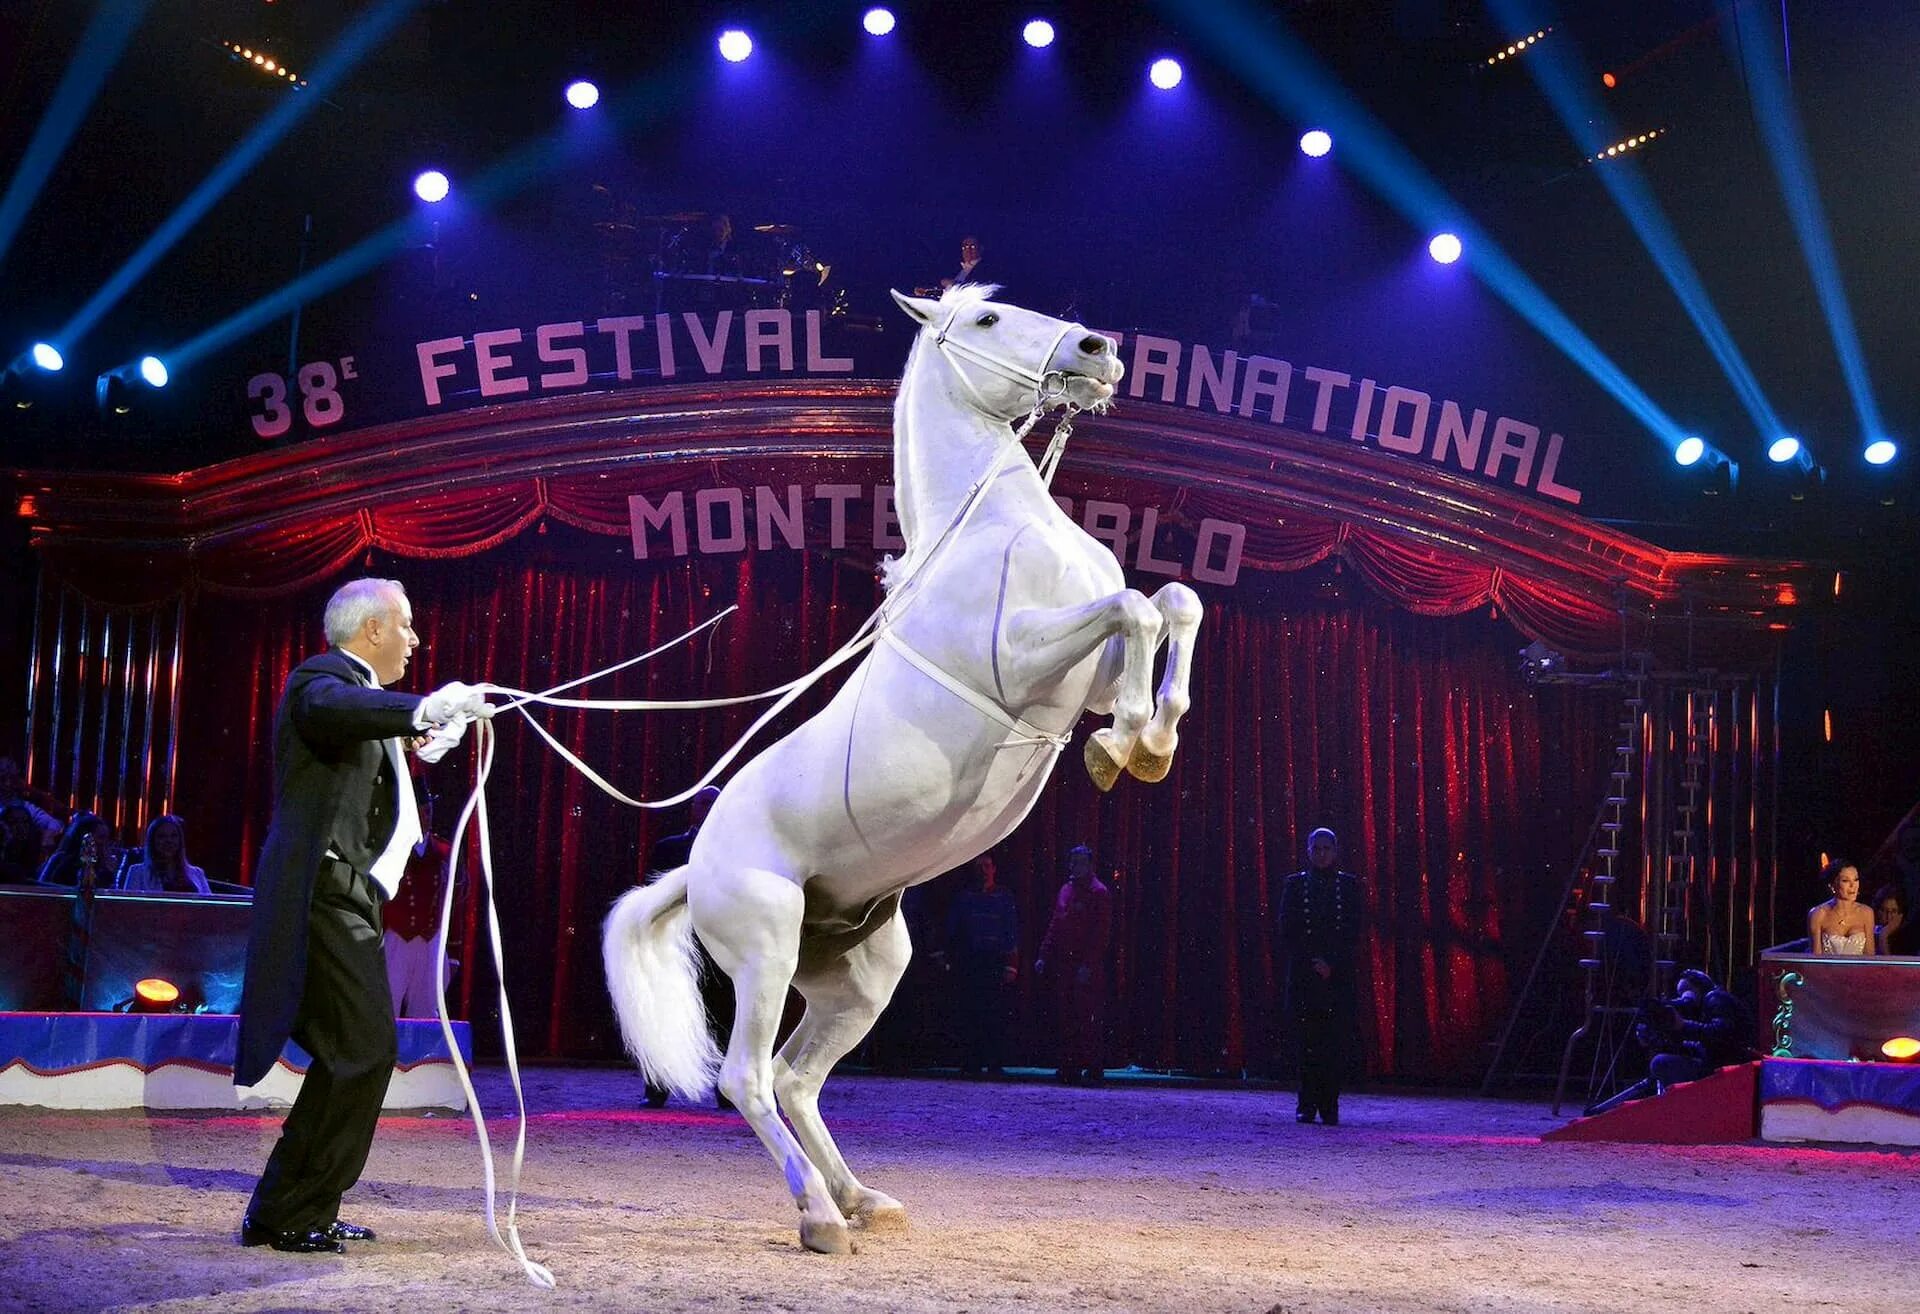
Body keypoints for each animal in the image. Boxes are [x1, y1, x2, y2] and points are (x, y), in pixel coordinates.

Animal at [602, 288, 1198, 1252]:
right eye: (988, 320)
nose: (1098, 351)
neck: (995, 530)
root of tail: (696, 869)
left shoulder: (1089, 675)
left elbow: (1171, 603)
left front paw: (1147, 744)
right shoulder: (1023, 661)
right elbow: (1134, 608)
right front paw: (1126, 745)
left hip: (862, 975)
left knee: (798, 1077)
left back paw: (861, 1199)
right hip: (765, 948)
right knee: (748, 1078)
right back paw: (818, 1216)